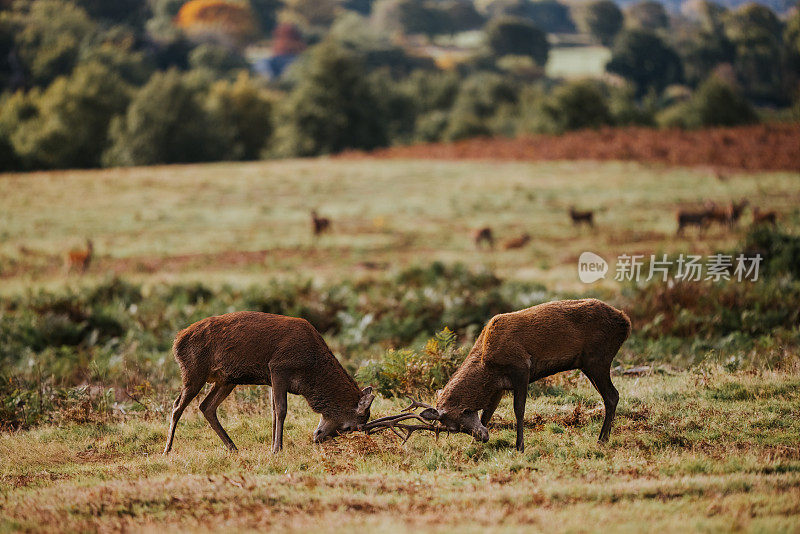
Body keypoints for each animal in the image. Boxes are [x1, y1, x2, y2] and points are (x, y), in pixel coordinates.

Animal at [164, 314, 376, 456]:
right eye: (349, 428)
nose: (318, 438)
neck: (310, 371)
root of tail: (176, 340)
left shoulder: (271, 379)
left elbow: (273, 411)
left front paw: (273, 446)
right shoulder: (278, 368)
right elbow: (281, 410)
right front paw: (276, 449)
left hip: (226, 380)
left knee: (206, 406)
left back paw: (233, 447)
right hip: (193, 371)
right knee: (177, 406)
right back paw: (167, 449)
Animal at [412, 302, 632, 452]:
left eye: (459, 421)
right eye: (453, 429)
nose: (482, 437)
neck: (486, 365)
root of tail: (626, 323)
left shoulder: (521, 369)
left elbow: (519, 410)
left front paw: (520, 446)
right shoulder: (498, 387)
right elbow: (487, 413)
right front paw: (474, 446)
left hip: (598, 359)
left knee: (612, 395)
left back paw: (602, 439)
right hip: (590, 364)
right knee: (611, 396)